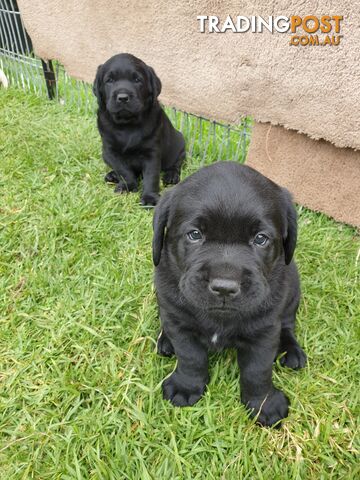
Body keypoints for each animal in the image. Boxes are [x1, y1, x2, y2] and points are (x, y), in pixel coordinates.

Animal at [93, 53, 186, 206]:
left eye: (137, 80)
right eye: (109, 80)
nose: (123, 97)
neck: (127, 124)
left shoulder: (152, 152)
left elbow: (151, 176)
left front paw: (149, 197)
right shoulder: (110, 151)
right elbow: (124, 170)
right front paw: (128, 186)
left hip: (179, 144)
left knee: (176, 164)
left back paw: (171, 176)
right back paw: (112, 175)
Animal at [152, 162, 306, 428]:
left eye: (261, 239)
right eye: (194, 234)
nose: (224, 287)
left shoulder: (265, 330)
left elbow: (258, 369)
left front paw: (264, 404)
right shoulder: (178, 321)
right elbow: (190, 357)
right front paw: (186, 386)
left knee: (287, 324)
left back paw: (291, 350)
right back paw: (165, 341)